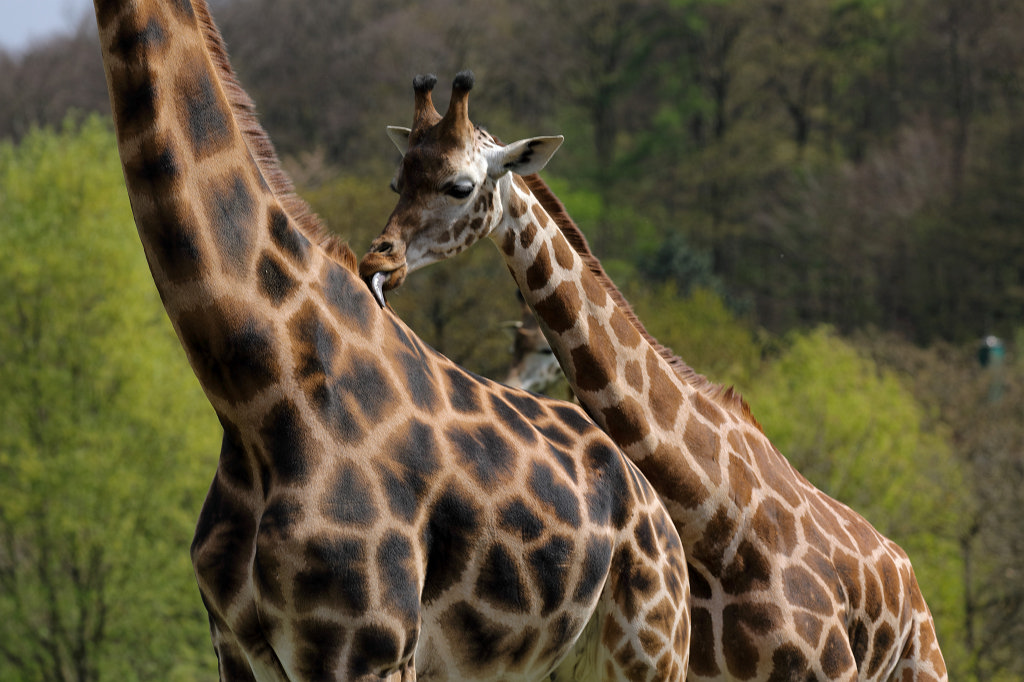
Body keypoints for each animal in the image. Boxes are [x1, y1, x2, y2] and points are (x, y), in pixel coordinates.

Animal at [91, 4, 691, 680]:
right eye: (393, 181)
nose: (382, 259)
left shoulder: (368, 649)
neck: (256, 393)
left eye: (460, 186)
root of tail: (659, 513)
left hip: (650, 647)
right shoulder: (235, 649)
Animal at [359, 72, 948, 682]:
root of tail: (911, 584)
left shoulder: (824, 668)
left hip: (924, 665)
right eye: (398, 181)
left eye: (460, 185)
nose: (379, 262)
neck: (711, 516)